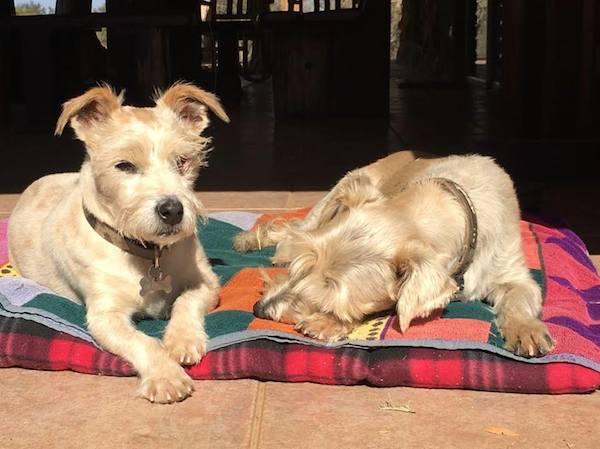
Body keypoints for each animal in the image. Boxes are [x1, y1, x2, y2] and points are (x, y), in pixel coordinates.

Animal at [8, 83, 229, 403]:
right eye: (124, 166)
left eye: (182, 162)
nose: (173, 210)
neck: (149, 254)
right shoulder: (104, 317)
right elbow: (142, 341)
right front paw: (166, 376)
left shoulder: (207, 284)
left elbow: (185, 302)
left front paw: (183, 341)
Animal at [234, 152, 554, 357]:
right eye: (301, 270)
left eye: (330, 300)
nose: (259, 309)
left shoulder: (512, 270)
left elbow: (519, 297)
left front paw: (526, 330)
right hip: (340, 191)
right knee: (291, 230)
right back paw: (250, 240)